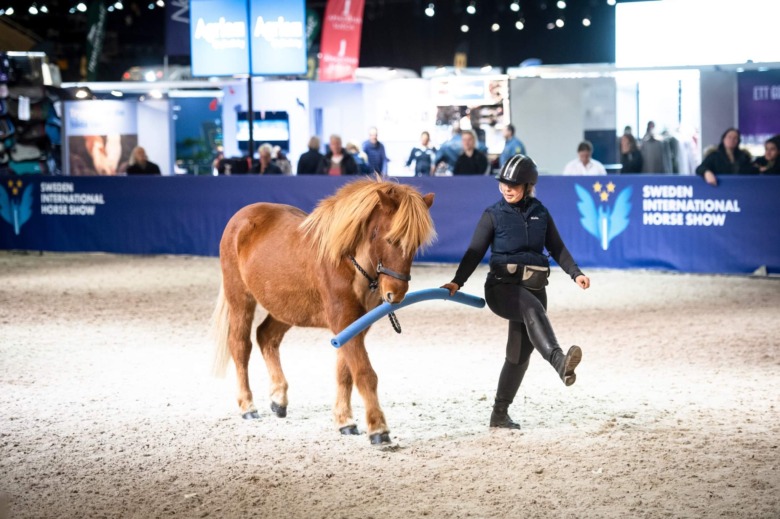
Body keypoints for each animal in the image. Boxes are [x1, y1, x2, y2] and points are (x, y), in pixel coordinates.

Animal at [211, 177, 436, 444]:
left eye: (416, 244)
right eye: (391, 239)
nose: (396, 294)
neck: (347, 262)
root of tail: (242, 217)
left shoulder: (354, 327)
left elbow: (344, 373)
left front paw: (344, 421)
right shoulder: (343, 321)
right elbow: (364, 373)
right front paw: (378, 429)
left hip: (286, 308)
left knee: (266, 336)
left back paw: (278, 399)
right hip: (240, 298)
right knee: (241, 346)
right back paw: (247, 406)